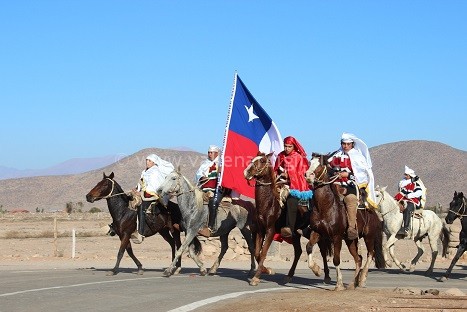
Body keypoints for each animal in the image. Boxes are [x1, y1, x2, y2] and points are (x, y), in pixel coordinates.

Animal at [243, 152, 328, 286]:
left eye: (262, 161)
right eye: (252, 159)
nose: (246, 172)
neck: (269, 203)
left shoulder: (270, 231)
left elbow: (263, 253)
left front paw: (256, 277)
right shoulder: (260, 230)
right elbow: (257, 253)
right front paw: (268, 270)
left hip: (315, 231)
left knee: (323, 249)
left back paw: (324, 274)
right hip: (297, 233)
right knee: (299, 251)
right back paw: (289, 276)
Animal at [306, 154, 372, 290]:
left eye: (320, 165)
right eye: (310, 163)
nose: (308, 175)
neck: (326, 207)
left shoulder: (336, 237)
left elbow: (336, 259)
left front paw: (339, 284)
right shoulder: (317, 231)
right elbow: (309, 247)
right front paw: (317, 270)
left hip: (369, 236)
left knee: (370, 254)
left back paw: (362, 279)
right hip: (350, 240)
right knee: (358, 258)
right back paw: (353, 283)